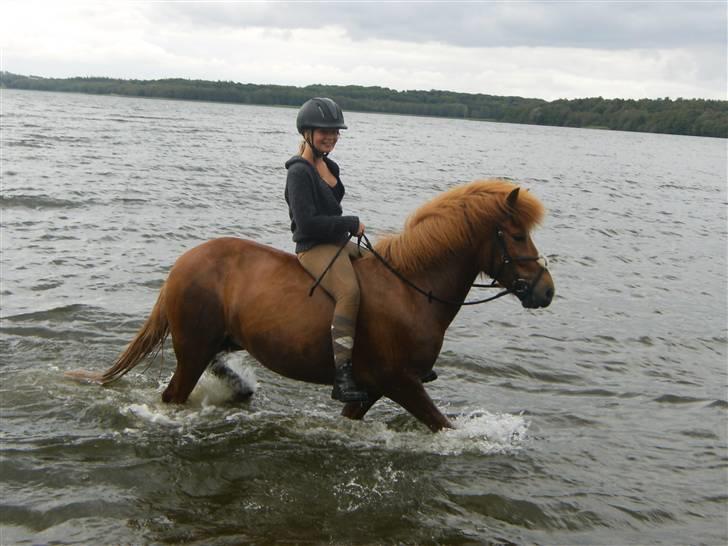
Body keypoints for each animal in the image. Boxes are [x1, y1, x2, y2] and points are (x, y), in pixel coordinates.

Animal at [69, 178, 556, 430]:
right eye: (517, 235)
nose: (546, 290)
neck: (413, 289)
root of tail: (183, 262)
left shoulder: (375, 388)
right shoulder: (401, 383)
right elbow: (444, 425)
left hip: (217, 341)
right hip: (192, 349)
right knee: (173, 395)